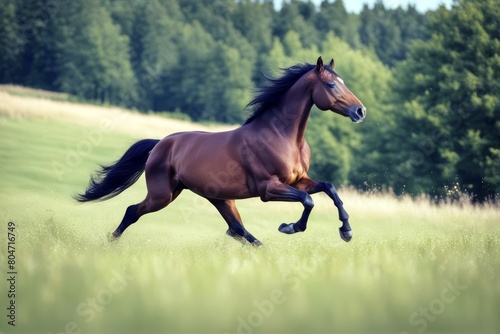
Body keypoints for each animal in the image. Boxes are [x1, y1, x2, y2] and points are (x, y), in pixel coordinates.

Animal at [78, 56, 368, 245]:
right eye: (331, 85)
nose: (360, 111)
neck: (283, 136)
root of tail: (161, 144)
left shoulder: (299, 180)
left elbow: (330, 188)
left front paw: (346, 231)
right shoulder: (269, 189)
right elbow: (308, 200)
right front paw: (290, 227)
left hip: (219, 199)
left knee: (237, 230)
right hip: (162, 195)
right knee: (132, 211)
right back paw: (109, 243)